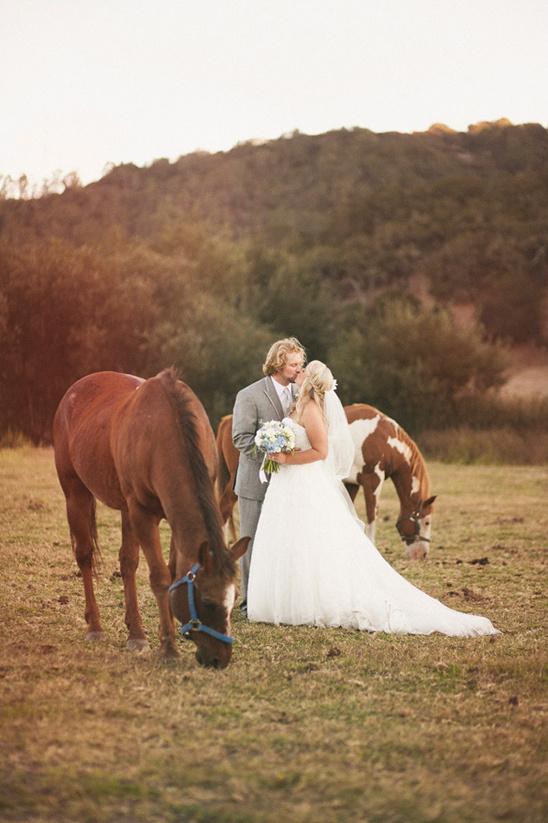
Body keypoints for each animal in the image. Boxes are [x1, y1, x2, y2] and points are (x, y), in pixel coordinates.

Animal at [52, 370, 249, 668]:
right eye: (207, 602)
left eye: (234, 596)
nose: (220, 659)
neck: (166, 432)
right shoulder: (143, 514)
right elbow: (160, 577)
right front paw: (169, 648)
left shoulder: (172, 516)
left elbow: (171, 570)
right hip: (76, 493)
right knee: (85, 555)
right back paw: (95, 626)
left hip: (124, 508)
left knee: (127, 562)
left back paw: (135, 631)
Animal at [342, 404, 436, 560]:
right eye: (427, 522)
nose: (421, 554)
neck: (385, 440)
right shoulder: (373, 479)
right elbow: (372, 514)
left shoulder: (352, 483)